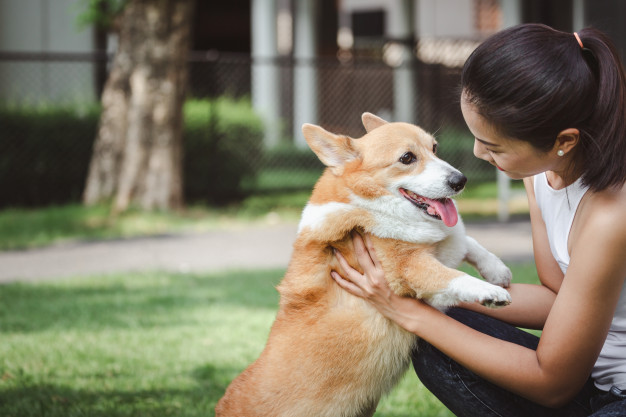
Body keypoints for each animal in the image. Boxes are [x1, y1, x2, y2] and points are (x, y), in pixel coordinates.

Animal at [217, 113, 510, 416]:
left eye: (435, 148)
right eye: (407, 158)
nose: (460, 180)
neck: (372, 203)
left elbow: (466, 241)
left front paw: (496, 270)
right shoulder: (409, 268)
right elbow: (451, 274)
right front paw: (490, 292)